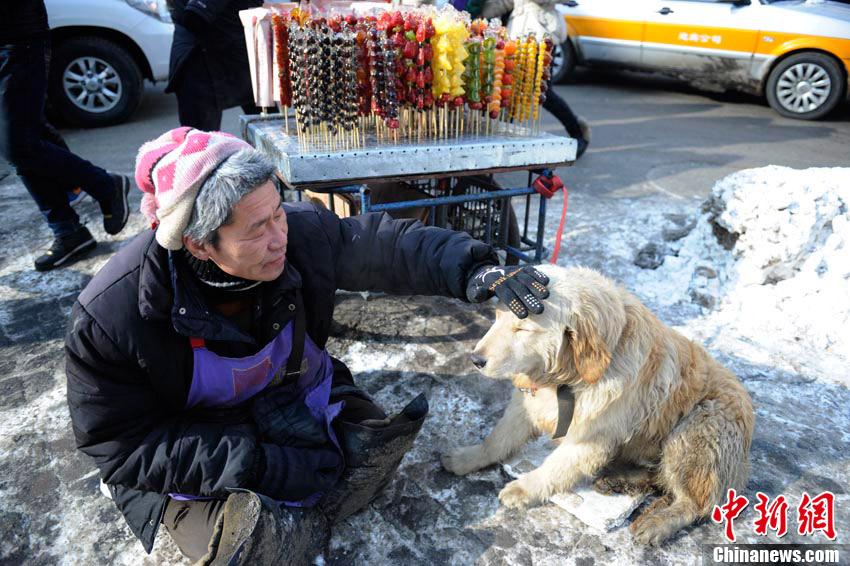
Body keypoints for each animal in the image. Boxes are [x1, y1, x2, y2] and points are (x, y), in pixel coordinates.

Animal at [440, 266, 752, 544]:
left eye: (522, 328)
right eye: (496, 318)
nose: (476, 360)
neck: (572, 376)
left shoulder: (590, 436)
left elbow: (555, 467)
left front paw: (525, 488)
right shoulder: (527, 405)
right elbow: (497, 440)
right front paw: (468, 458)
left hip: (695, 430)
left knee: (696, 503)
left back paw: (658, 523)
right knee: (657, 477)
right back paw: (620, 479)